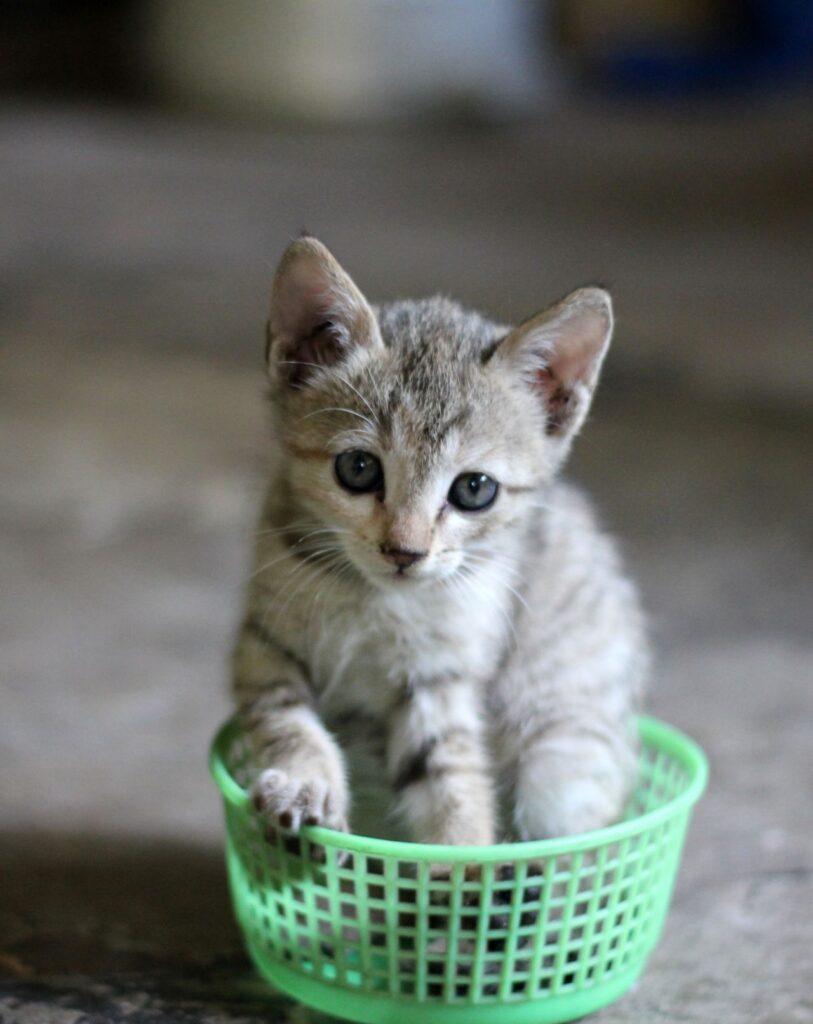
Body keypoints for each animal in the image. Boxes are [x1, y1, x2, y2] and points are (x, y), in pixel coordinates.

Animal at [229, 235, 647, 843]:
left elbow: (451, 778)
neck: (373, 601)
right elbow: (283, 716)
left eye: (474, 488)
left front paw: (463, 857)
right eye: (358, 468)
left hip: (565, 761)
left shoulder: (439, 679)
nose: (405, 551)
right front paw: (306, 782)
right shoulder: (265, 641)